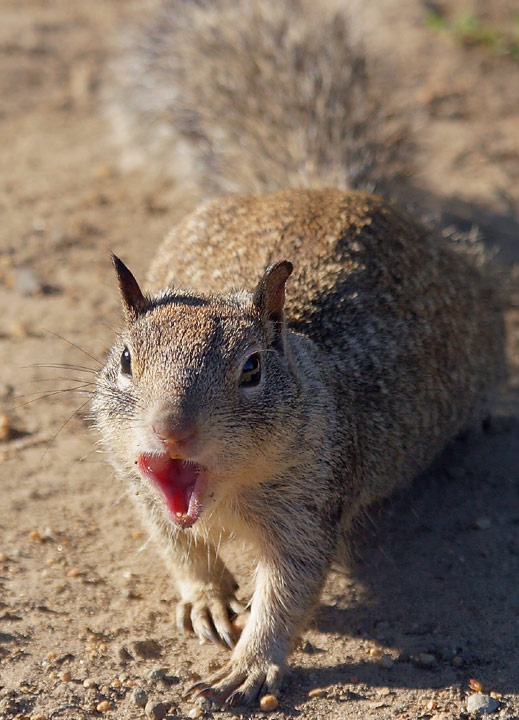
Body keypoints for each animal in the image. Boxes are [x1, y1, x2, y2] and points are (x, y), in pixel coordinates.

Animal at [94, 0, 505, 708]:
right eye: (125, 360)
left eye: (252, 368)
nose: (170, 430)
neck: (227, 492)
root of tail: (315, 184)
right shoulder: (141, 485)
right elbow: (179, 548)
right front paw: (207, 599)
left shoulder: (315, 498)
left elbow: (290, 590)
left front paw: (251, 664)